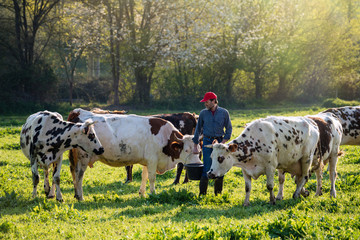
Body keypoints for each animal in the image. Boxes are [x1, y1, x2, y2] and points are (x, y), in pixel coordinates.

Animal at [66, 108, 201, 200]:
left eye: (199, 150)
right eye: (187, 150)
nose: (198, 164)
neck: (164, 136)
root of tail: (78, 112)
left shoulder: (147, 161)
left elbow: (144, 176)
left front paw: (142, 193)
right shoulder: (153, 159)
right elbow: (152, 177)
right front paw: (153, 193)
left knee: (74, 172)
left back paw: (76, 195)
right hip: (83, 157)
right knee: (79, 175)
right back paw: (80, 196)